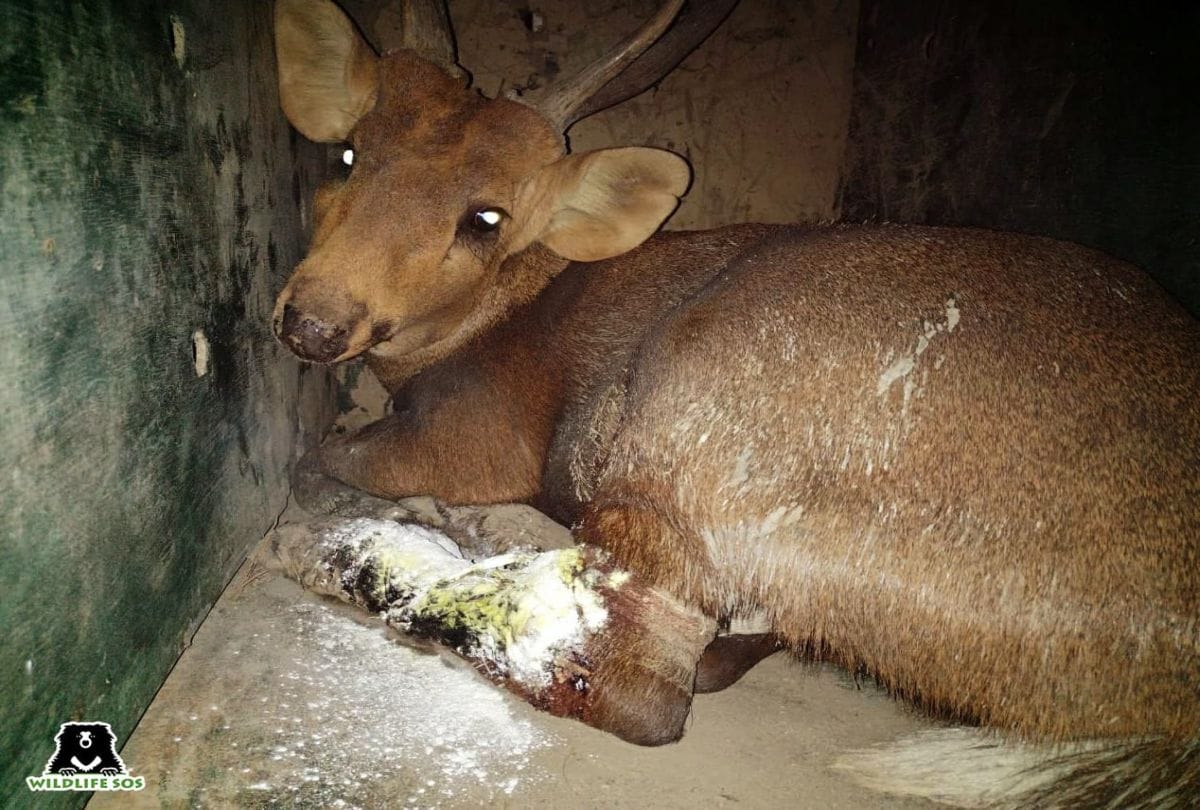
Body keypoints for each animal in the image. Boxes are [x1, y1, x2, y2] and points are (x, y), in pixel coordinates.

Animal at [269, 0, 1200, 806]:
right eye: (348, 155)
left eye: (486, 217)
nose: (312, 321)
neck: (503, 313)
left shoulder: (478, 434)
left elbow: (322, 460)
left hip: (686, 422)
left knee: (635, 685)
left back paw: (353, 553)